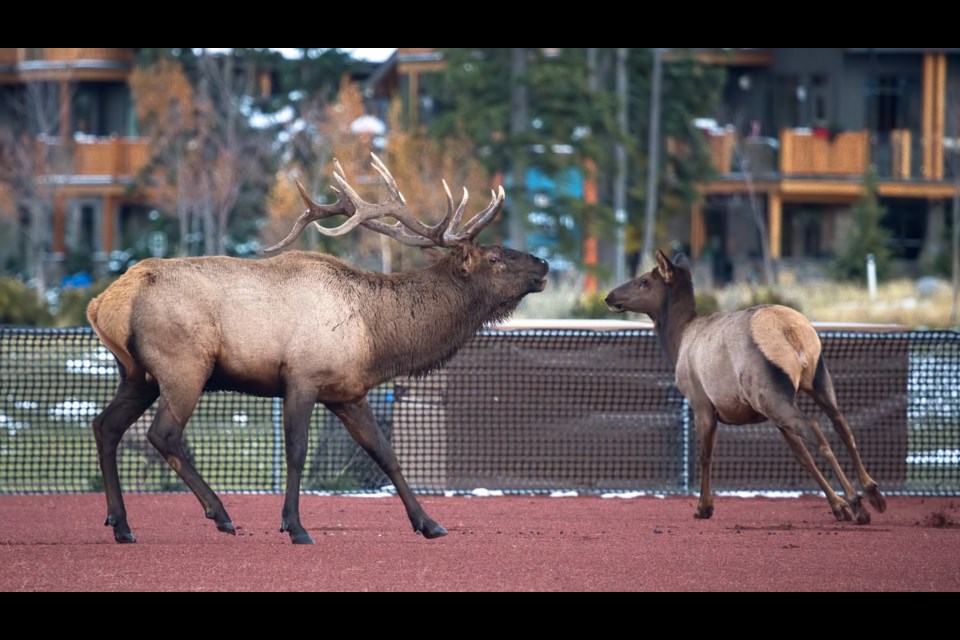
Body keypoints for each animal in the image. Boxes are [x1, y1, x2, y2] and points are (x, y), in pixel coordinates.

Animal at [86, 154, 552, 540]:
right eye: (494, 258)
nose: (544, 263)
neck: (377, 339)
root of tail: (103, 303)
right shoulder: (301, 378)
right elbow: (296, 452)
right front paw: (295, 527)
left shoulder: (349, 393)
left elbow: (386, 455)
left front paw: (429, 523)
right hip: (183, 366)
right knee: (163, 434)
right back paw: (219, 514)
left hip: (137, 375)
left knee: (105, 425)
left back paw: (121, 524)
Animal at [608, 250, 884, 524]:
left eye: (644, 281)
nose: (609, 296)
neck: (677, 341)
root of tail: (791, 332)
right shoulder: (769, 415)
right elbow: (801, 456)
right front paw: (837, 506)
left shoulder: (701, 402)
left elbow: (706, 456)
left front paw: (704, 507)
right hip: (813, 381)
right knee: (841, 425)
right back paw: (871, 492)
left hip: (770, 393)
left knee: (816, 429)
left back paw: (857, 501)